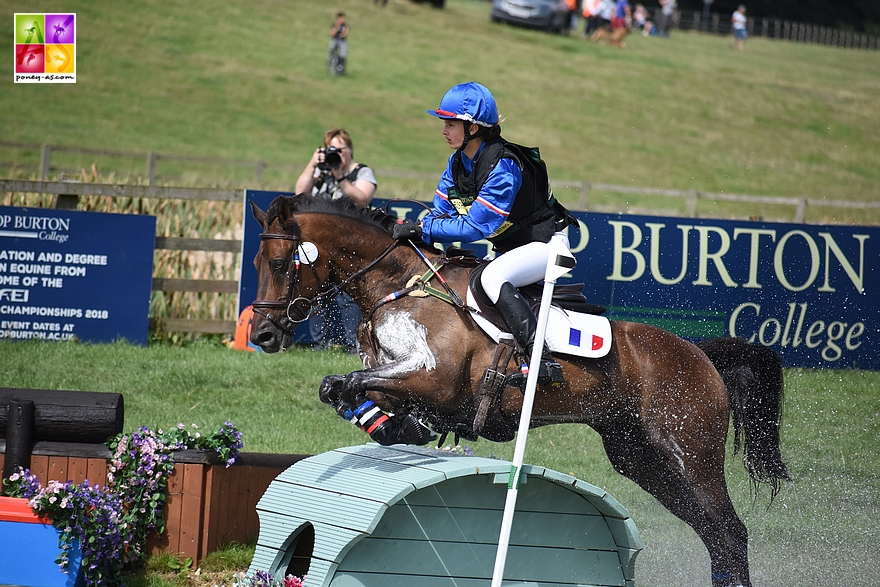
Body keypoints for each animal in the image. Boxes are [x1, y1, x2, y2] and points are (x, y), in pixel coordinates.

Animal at [248, 194, 792, 587]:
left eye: (278, 263)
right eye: (256, 261)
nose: (263, 336)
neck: (396, 284)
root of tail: (700, 354)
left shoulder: (434, 379)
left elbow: (352, 383)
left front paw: (399, 425)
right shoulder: (401, 378)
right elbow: (338, 387)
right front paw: (394, 426)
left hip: (689, 453)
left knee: (729, 530)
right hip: (640, 457)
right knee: (712, 532)